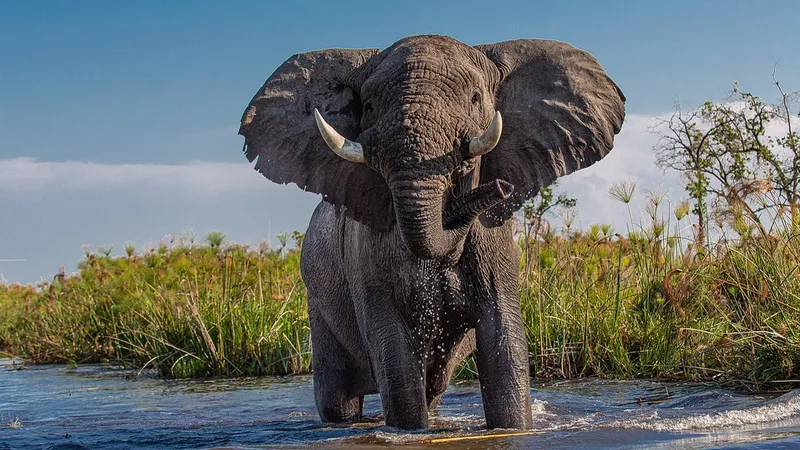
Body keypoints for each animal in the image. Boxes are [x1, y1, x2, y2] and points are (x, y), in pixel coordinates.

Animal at [238, 35, 624, 428]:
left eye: (475, 98)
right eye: (369, 106)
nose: (501, 187)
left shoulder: (495, 246)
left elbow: (504, 339)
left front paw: (514, 429)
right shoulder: (366, 254)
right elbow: (393, 349)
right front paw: (408, 431)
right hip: (317, 298)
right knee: (338, 400)